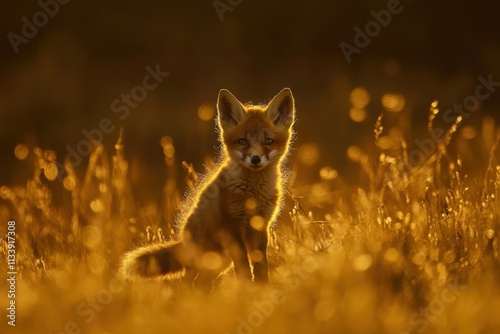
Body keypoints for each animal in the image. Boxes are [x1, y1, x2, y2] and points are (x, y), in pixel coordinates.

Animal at [119, 87, 294, 288]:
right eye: (242, 141)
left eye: (268, 141)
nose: (255, 159)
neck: (252, 194)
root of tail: (183, 241)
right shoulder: (231, 226)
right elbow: (243, 266)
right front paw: (246, 288)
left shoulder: (260, 225)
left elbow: (260, 264)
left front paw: (262, 287)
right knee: (190, 281)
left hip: (218, 263)